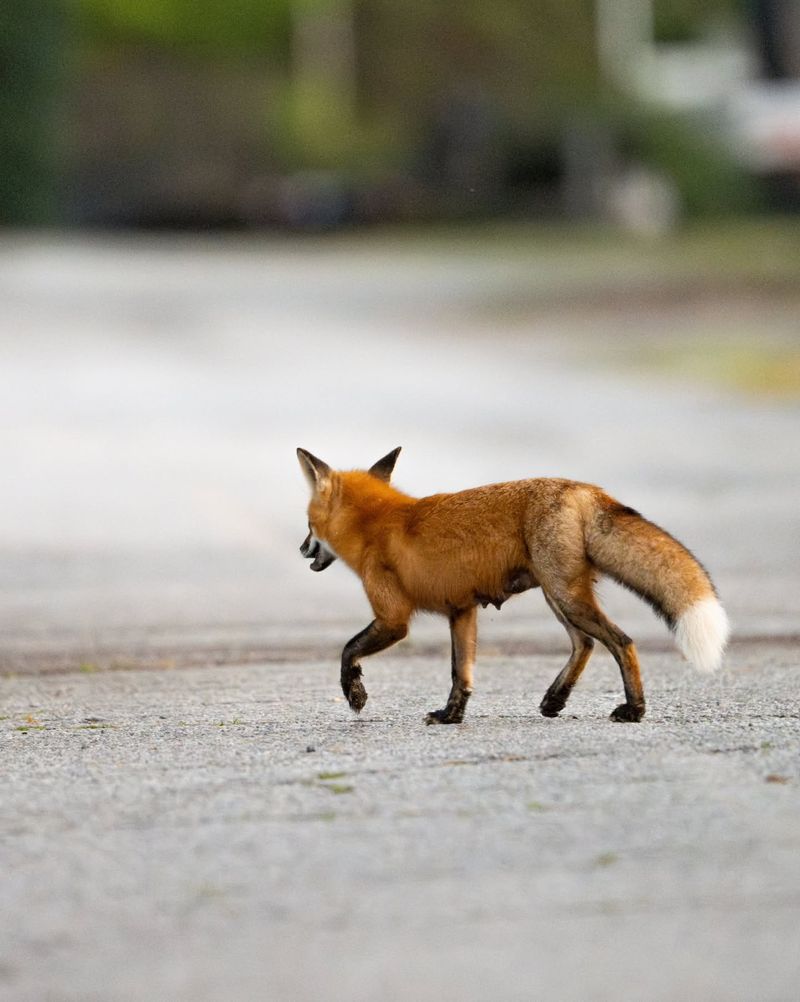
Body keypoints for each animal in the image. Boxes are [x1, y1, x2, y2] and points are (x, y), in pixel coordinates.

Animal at [297, 447, 729, 724]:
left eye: (307, 523)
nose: (301, 548)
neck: (377, 523)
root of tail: (585, 489)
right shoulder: (462, 610)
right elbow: (461, 673)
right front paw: (451, 716)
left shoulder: (393, 619)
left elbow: (347, 651)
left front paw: (354, 693)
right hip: (558, 595)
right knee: (585, 643)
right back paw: (555, 699)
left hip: (565, 596)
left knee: (621, 642)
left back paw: (634, 711)